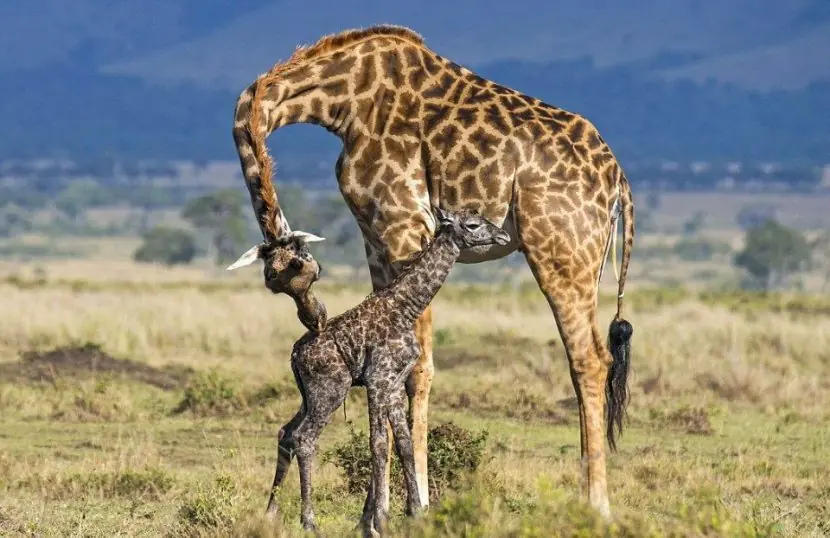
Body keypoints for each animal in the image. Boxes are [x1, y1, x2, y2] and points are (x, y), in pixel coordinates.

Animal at [266, 207, 511, 535]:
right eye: (472, 224)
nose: (504, 235)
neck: (406, 308)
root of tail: (295, 354)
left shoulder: (394, 384)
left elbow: (405, 444)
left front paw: (416, 513)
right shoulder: (377, 379)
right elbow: (380, 445)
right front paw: (380, 521)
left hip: (309, 395)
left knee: (286, 433)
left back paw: (269, 514)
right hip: (331, 389)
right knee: (305, 438)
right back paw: (309, 523)